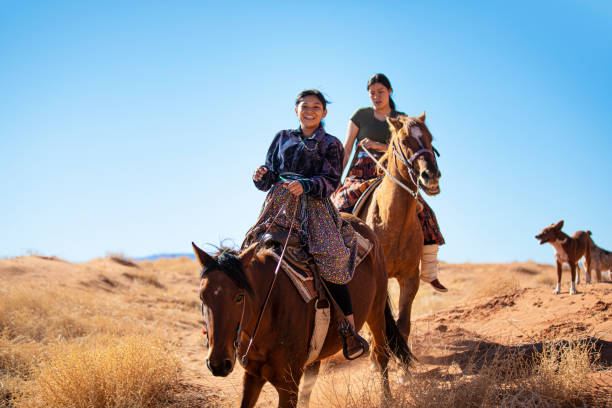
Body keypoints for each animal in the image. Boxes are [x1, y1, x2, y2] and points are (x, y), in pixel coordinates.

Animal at [195, 214, 416, 408]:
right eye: (202, 296)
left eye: (239, 297)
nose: (217, 364)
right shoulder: (251, 376)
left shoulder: (288, 385)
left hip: (376, 312)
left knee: (381, 354)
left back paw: (386, 399)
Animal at [354, 113, 440, 340]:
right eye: (404, 141)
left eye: (430, 138)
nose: (431, 175)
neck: (392, 224)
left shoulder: (409, 278)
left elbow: (402, 325)